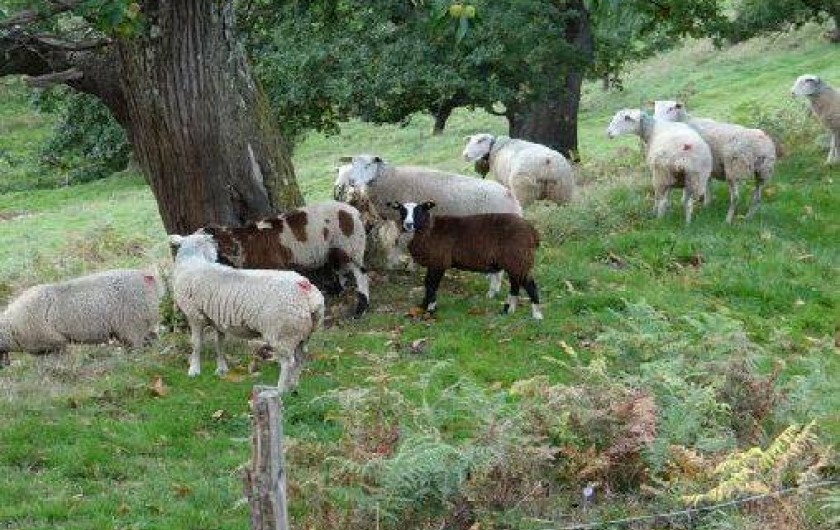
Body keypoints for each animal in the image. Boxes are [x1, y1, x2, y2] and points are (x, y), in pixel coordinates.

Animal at [0, 269, 162, 363]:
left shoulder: (54, 343)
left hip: (132, 323)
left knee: (138, 345)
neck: (9, 327)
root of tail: (147, 277)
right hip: (138, 323)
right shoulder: (43, 349)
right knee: (150, 338)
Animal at [169, 232, 325, 393]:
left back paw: (280, 389)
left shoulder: (194, 315)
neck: (194, 262)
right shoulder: (218, 320)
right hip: (303, 332)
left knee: (288, 362)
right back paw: (293, 386)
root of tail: (305, 287)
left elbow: (197, 344)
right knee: (301, 358)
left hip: (282, 332)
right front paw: (221, 369)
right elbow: (220, 344)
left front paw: (194, 370)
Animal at [201, 200, 370, 316]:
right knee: (340, 267)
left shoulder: (275, 265)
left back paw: (361, 307)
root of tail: (354, 212)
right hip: (335, 247)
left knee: (360, 273)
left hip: (352, 244)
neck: (245, 242)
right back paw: (337, 290)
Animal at [333, 154, 522, 298]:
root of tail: (512, 199)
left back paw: (492, 291)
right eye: (352, 164)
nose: (351, 181)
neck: (390, 181)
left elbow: (400, 243)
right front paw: (410, 265)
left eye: (368, 165)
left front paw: (394, 265)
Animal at [388, 201, 543, 320]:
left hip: (518, 258)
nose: (408, 224)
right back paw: (508, 310)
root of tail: (532, 231)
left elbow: (432, 284)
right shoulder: (433, 263)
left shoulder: (439, 261)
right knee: (515, 285)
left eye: (419, 210)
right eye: (402, 210)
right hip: (515, 261)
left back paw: (536, 315)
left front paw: (431, 308)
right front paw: (424, 305)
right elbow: (427, 283)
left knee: (529, 285)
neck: (429, 229)